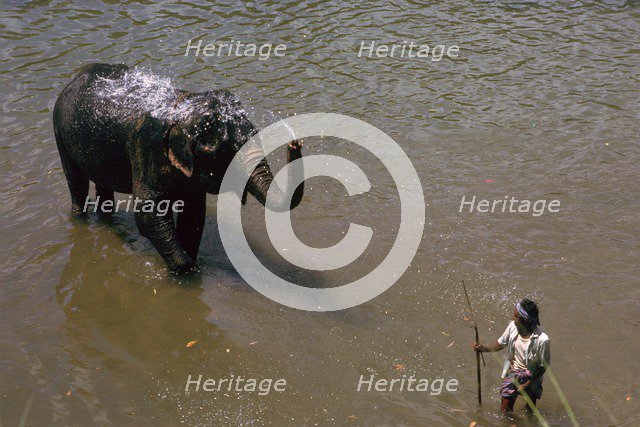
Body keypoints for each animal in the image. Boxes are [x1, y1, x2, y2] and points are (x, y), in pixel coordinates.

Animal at [53, 63, 304, 274]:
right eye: (224, 152)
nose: (295, 143)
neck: (183, 107)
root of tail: (72, 80)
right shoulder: (144, 150)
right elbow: (147, 215)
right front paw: (184, 269)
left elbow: (193, 214)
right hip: (60, 133)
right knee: (76, 182)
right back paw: (80, 218)